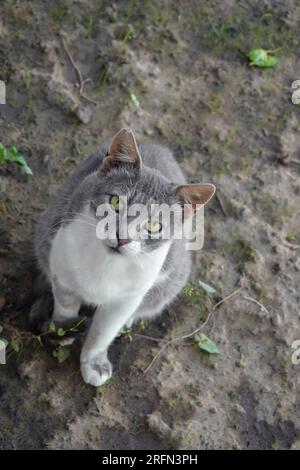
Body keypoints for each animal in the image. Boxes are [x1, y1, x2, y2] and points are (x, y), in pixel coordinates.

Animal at [34, 129, 214, 386]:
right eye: (116, 201)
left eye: (154, 225)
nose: (122, 238)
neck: (107, 264)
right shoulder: (62, 270)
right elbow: (65, 308)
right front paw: (61, 331)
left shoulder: (125, 299)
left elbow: (102, 332)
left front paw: (94, 362)